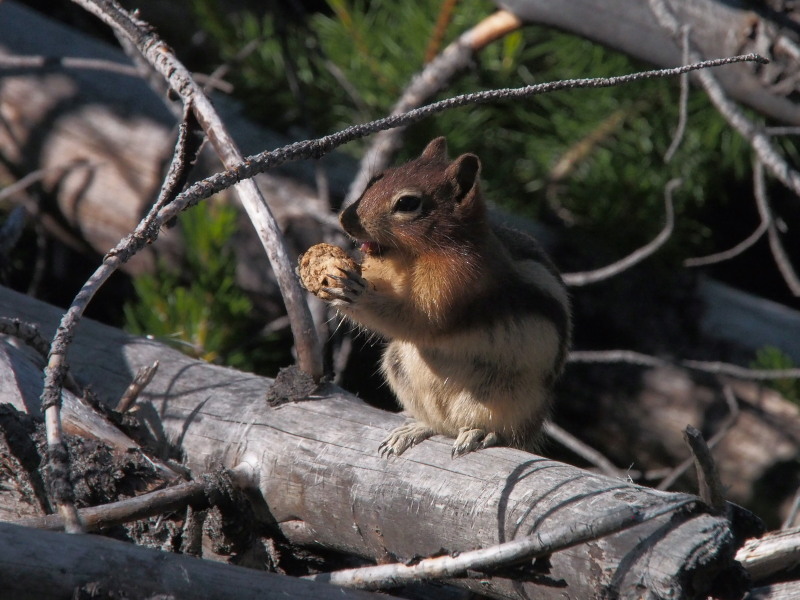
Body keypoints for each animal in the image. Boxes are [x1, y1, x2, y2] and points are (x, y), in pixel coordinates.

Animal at [298, 137, 568, 454]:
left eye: (407, 203)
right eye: (377, 178)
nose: (345, 219)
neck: (415, 254)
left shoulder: (459, 281)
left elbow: (423, 320)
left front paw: (355, 294)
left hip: (508, 396)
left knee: (508, 434)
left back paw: (481, 433)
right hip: (399, 365)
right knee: (441, 426)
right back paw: (414, 429)